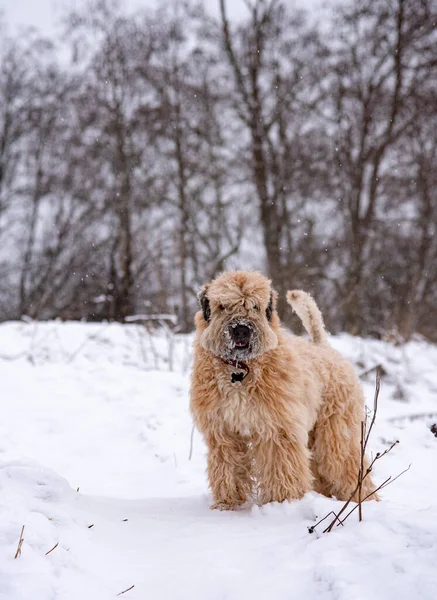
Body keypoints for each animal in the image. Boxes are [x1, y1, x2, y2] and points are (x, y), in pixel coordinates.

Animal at [189, 272, 376, 510]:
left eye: (255, 306)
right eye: (223, 306)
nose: (241, 329)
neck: (240, 370)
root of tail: (324, 348)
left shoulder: (277, 429)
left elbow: (281, 468)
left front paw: (283, 501)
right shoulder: (224, 433)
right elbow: (227, 468)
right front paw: (228, 504)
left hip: (335, 434)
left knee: (346, 465)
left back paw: (364, 499)